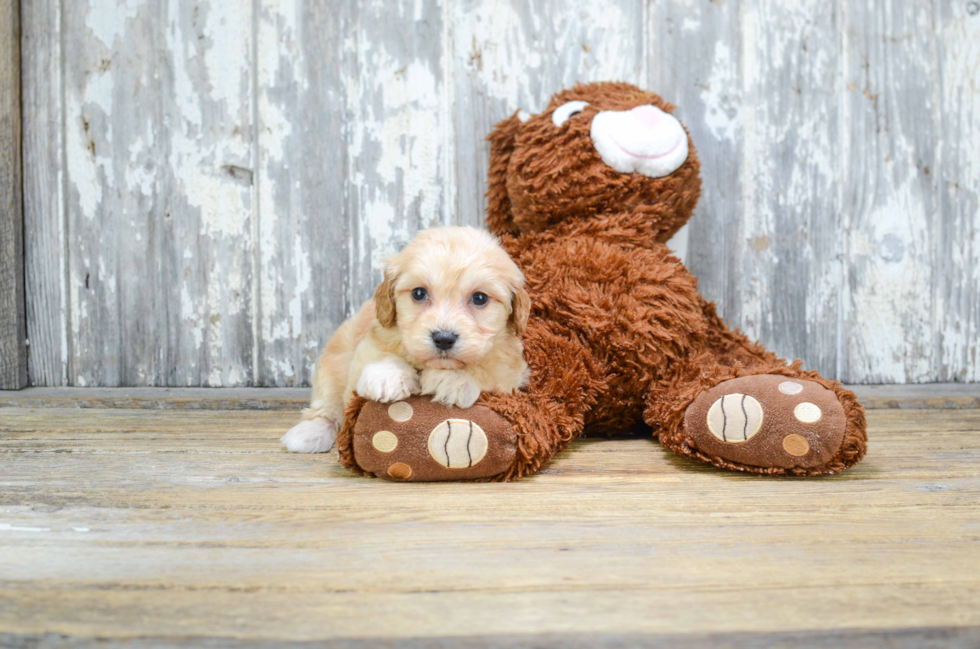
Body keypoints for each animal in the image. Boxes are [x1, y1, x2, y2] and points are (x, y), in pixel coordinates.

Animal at [280, 225, 532, 454]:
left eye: (479, 298)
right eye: (419, 293)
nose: (444, 338)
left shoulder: (511, 368)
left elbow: (488, 369)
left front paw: (453, 379)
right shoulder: (371, 341)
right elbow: (379, 355)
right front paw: (387, 377)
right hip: (335, 358)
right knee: (327, 403)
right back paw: (311, 432)